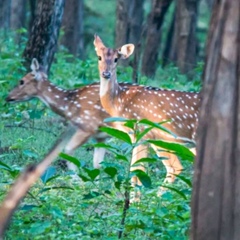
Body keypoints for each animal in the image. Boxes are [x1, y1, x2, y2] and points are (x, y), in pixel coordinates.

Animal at [5, 58, 147, 177]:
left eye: (21, 81)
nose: (8, 97)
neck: (69, 105)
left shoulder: (87, 126)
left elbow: (68, 151)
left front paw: (77, 181)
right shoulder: (100, 136)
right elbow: (97, 165)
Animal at [94, 34, 201, 187]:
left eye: (116, 59)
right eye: (99, 57)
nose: (106, 73)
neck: (119, 102)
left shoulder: (140, 131)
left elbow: (137, 171)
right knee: (176, 167)